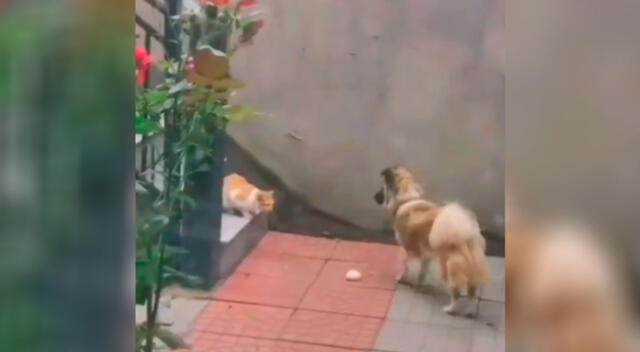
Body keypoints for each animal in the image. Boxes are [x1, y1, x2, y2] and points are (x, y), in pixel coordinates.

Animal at [370, 167, 490, 314]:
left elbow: (405, 265)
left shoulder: (411, 250)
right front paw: (418, 285)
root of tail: (467, 234)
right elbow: (422, 272)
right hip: (470, 268)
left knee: (456, 293)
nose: (374, 197)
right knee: (471, 294)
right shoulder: (426, 255)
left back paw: (449, 309)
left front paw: (400, 277)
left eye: (381, 188)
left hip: (447, 267)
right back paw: (469, 311)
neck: (406, 200)